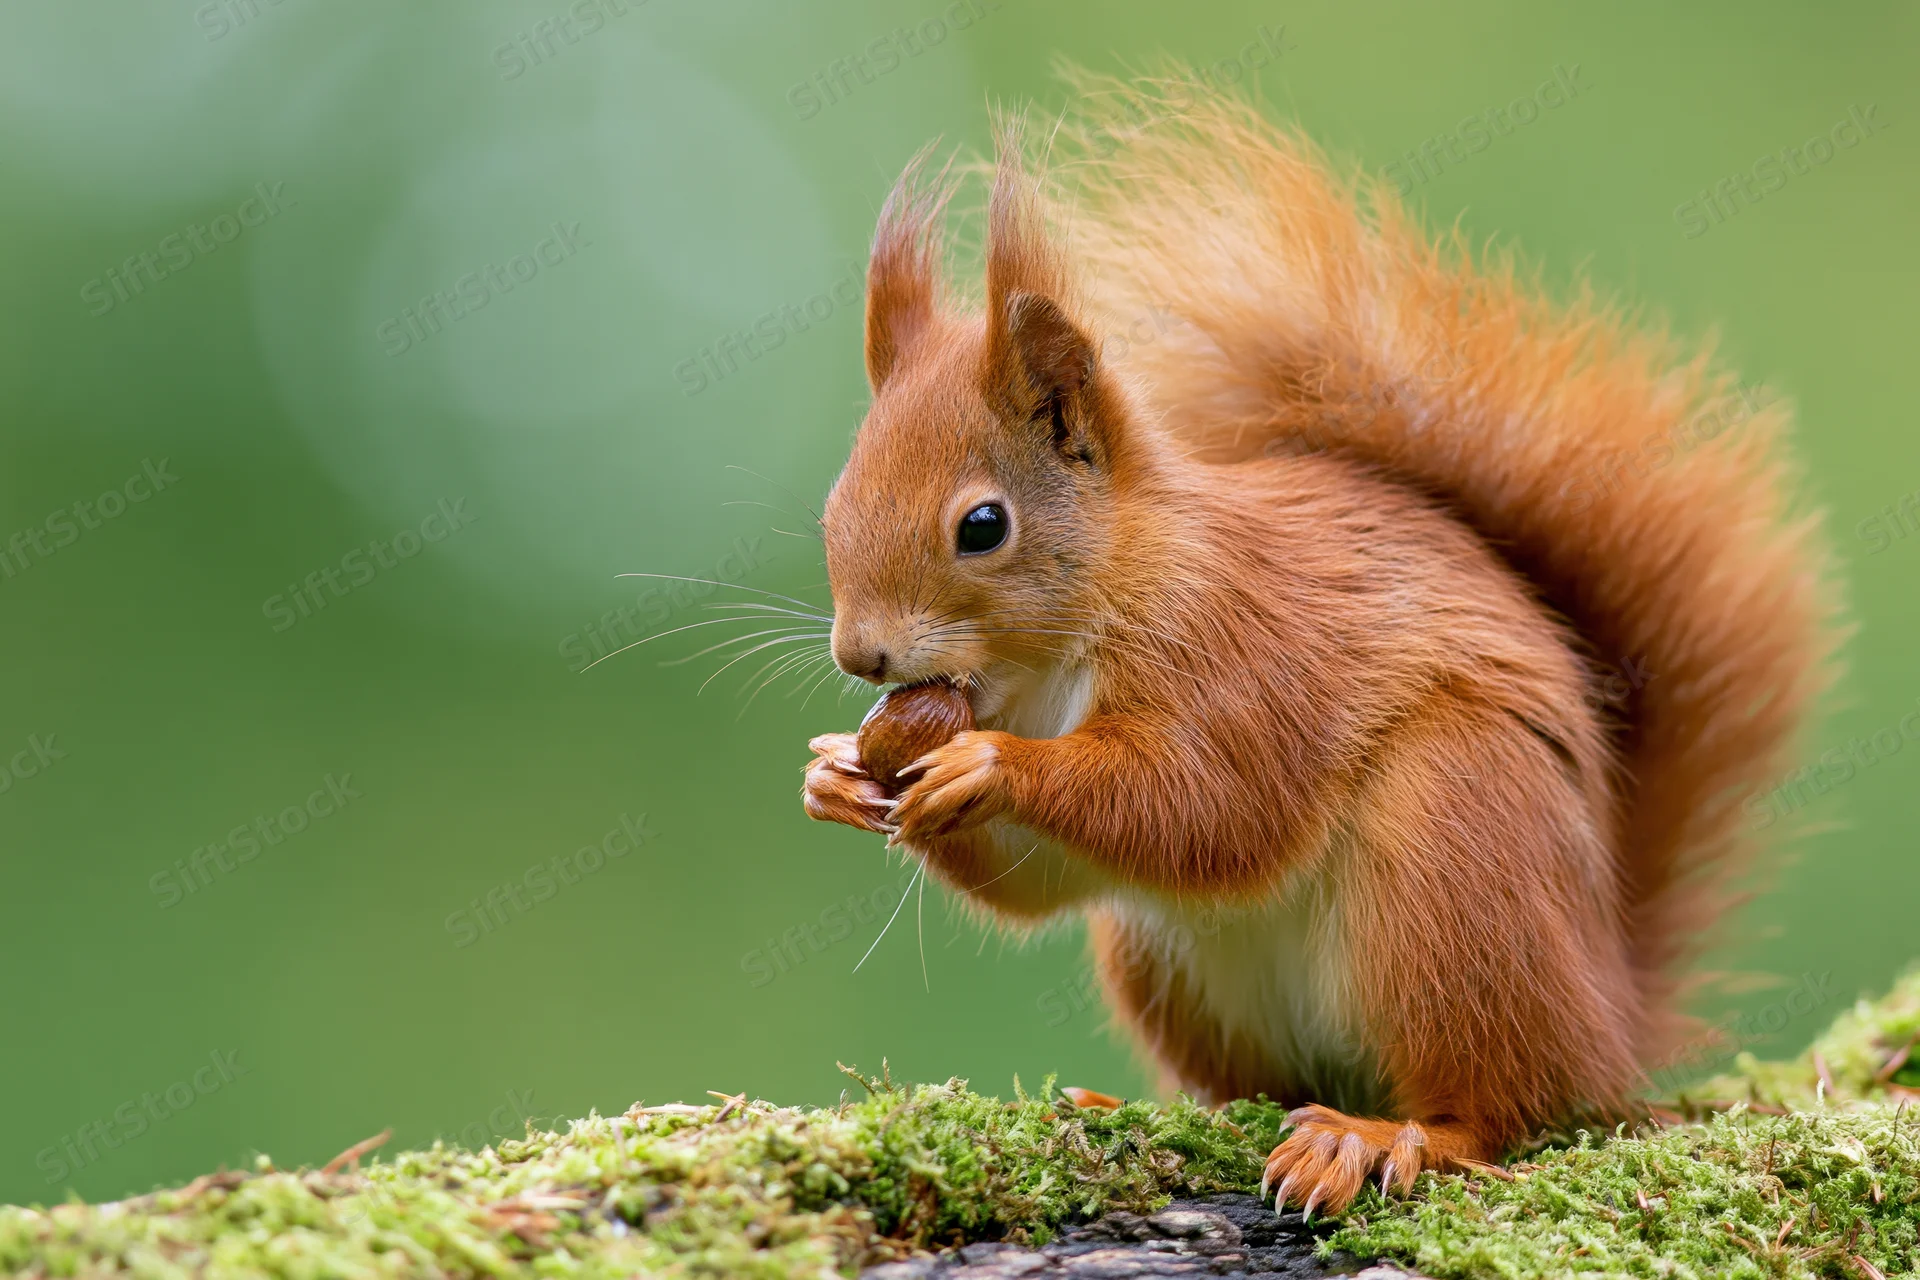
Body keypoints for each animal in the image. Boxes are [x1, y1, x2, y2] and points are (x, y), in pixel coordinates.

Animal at [800, 79, 1835, 1215]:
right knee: (1268, 1075)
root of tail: (1611, 1013)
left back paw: (1378, 1137)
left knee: (1500, 1109)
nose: (862, 658)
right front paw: (836, 776)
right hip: (1170, 963)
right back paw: (1152, 1107)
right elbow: (1042, 881)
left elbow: (1212, 803)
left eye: (982, 526)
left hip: (1456, 856)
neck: (1052, 658)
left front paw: (989, 764)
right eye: (833, 506)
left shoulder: (1246, 652)